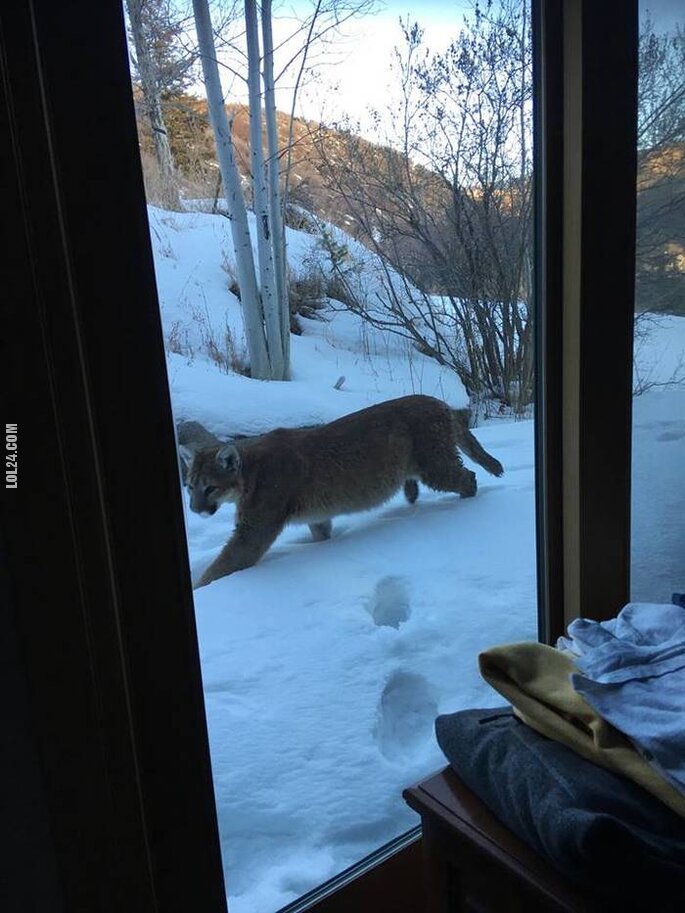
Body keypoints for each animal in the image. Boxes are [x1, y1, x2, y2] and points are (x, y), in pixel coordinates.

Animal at [182, 396, 502, 588]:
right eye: (189, 487)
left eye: (209, 488)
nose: (195, 510)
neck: (247, 474)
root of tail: (438, 402)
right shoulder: (315, 517)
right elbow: (321, 533)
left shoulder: (254, 530)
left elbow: (223, 564)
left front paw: (201, 589)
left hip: (435, 464)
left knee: (468, 478)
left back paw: (463, 507)